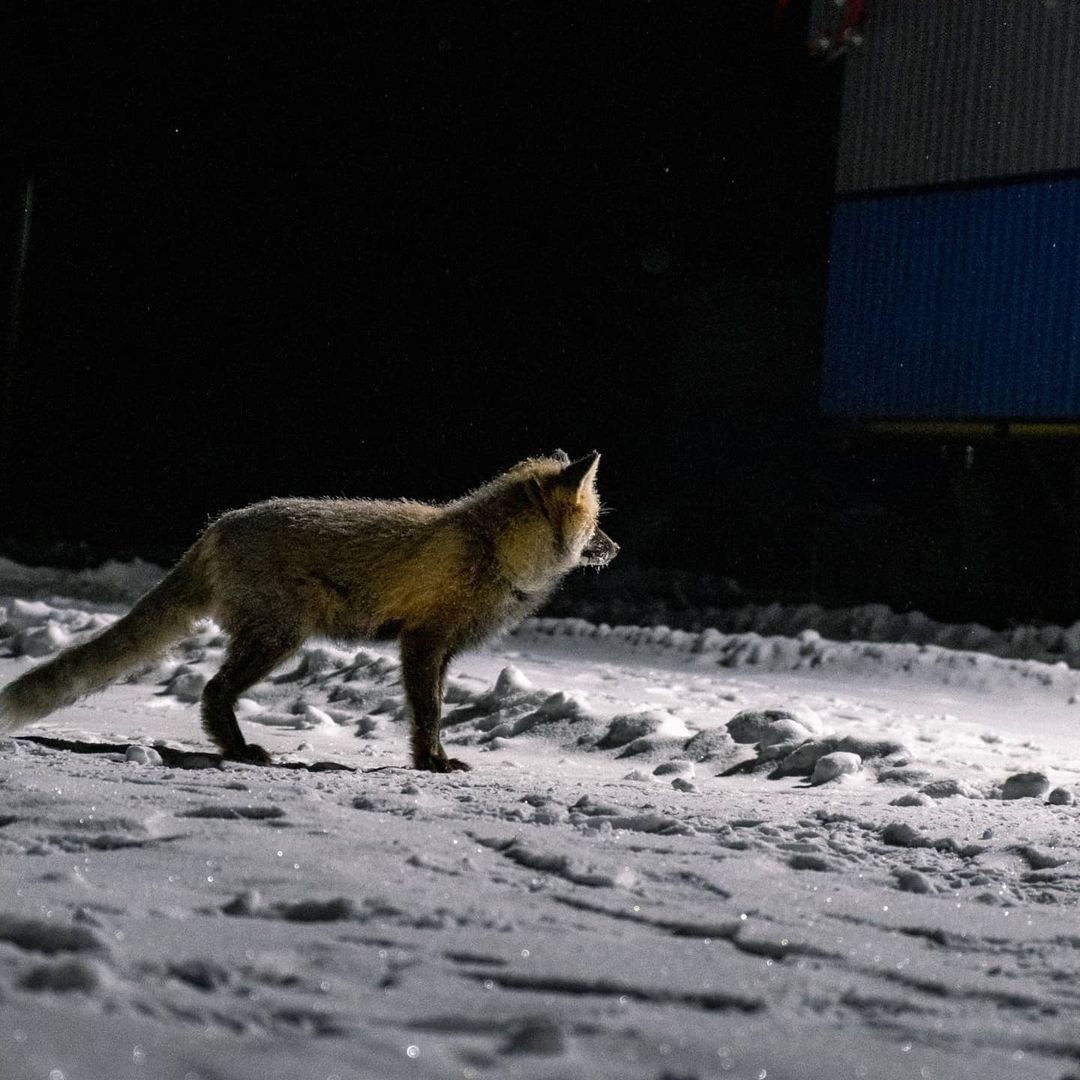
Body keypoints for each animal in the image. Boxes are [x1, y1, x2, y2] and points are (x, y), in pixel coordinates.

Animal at [0, 451, 617, 773]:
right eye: (596, 522)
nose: (615, 550)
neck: (492, 550)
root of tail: (213, 530)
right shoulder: (422, 642)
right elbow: (428, 715)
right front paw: (432, 765)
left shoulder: (439, 650)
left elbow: (432, 716)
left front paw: (435, 760)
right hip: (279, 638)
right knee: (213, 691)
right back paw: (239, 752)